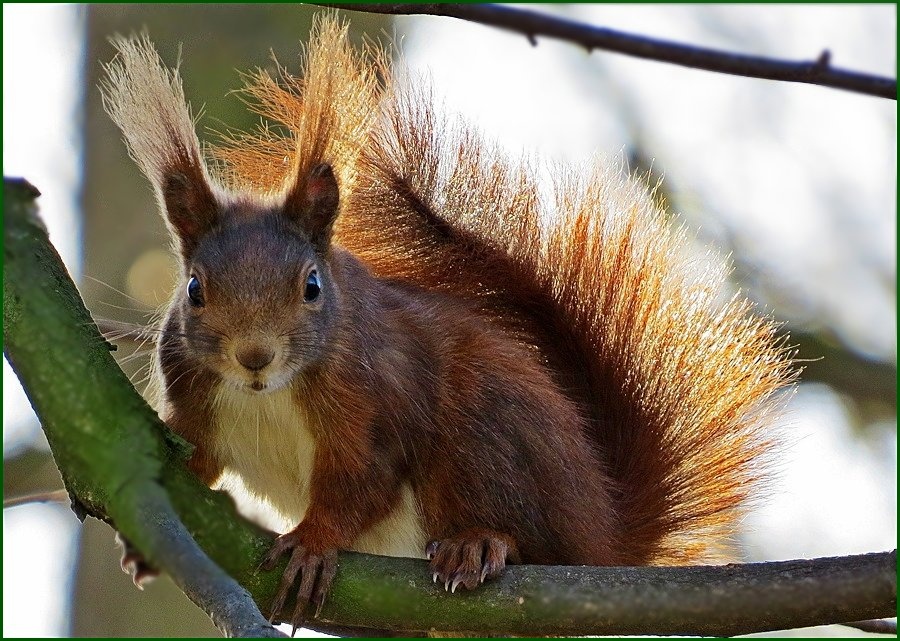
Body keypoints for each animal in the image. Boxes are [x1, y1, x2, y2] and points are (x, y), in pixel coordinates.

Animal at [102, 15, 800, 632]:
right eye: (194, 289)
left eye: (311, 287)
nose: (254, 356)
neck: (266, 395)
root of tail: (604, 537)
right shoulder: (195, 403)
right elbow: (195, 459)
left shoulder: (374, 401)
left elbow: (363, 482)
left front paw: (313, 541)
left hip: (484, 430)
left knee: (522, 532)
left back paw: (481, 544)